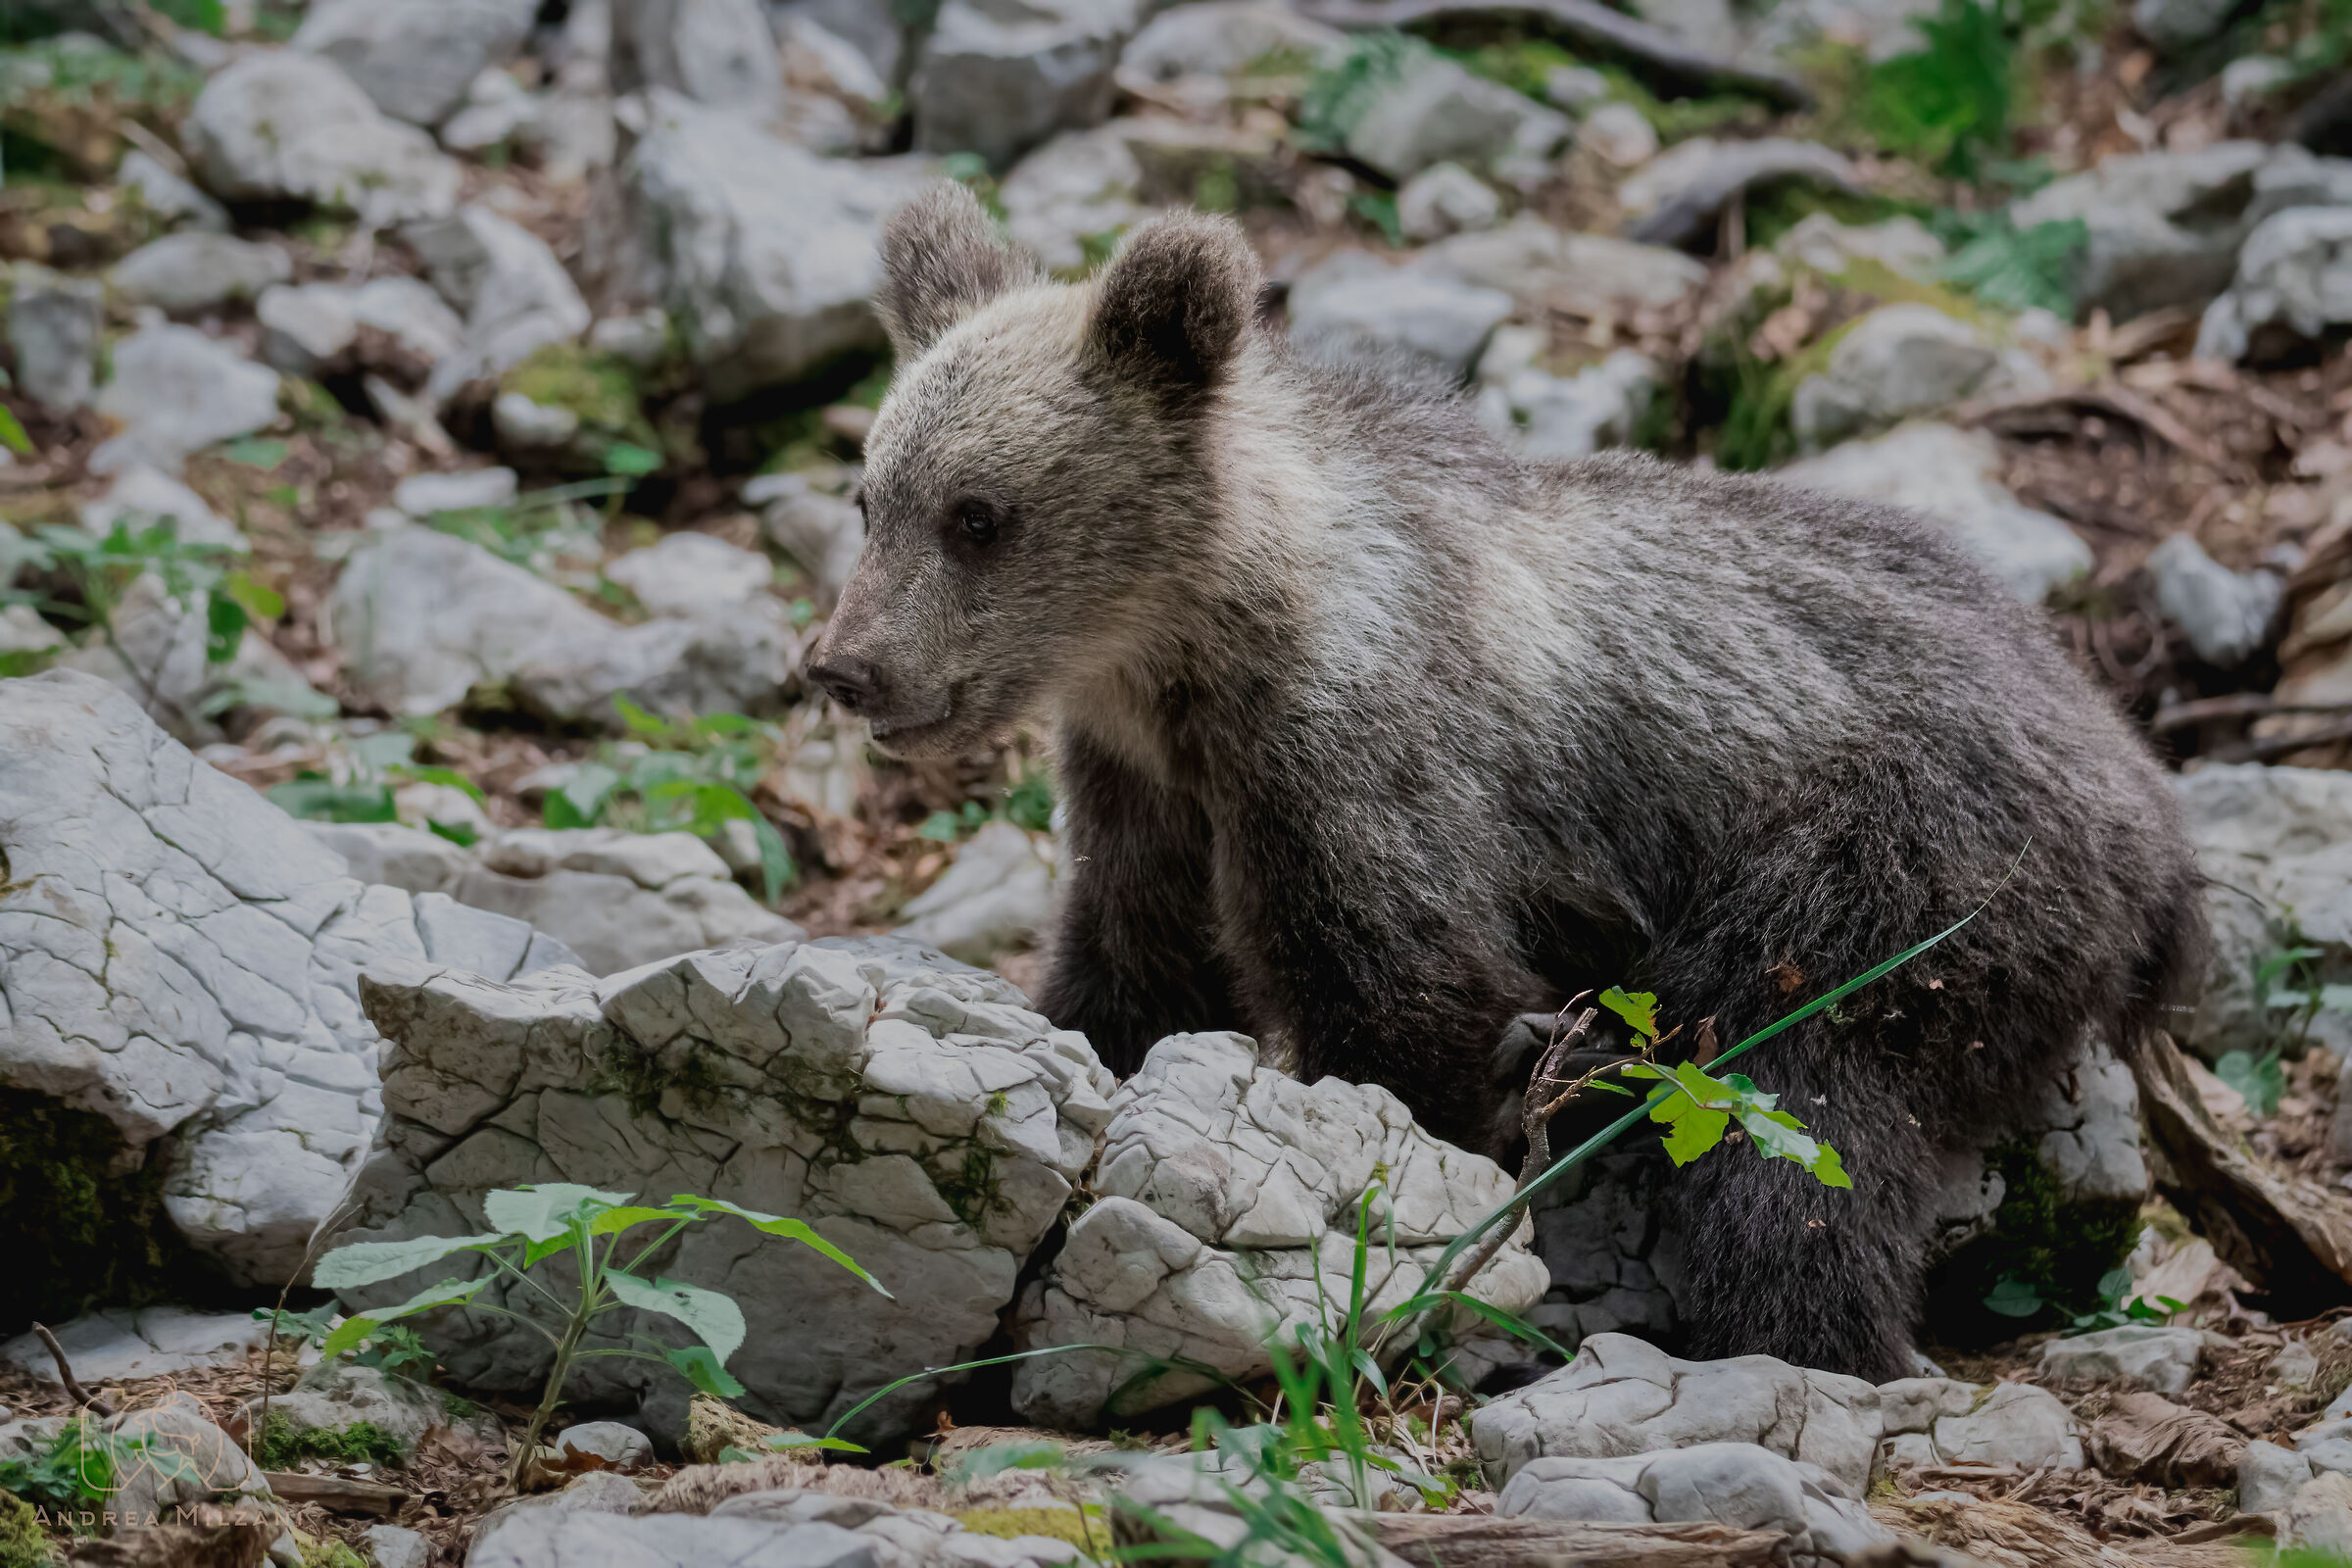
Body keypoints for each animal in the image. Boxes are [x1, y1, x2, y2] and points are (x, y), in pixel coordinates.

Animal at [807, 183, 2205, 1383]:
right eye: (870, 496)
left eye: (979, 513)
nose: (843, 667)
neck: (1192, 650)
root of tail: (2143, 790)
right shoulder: (1148, 789)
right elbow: (1138, 963)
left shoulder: (1358, 761)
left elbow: (1407, 994)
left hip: (1902, 869)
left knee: (1797, 1102)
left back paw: (1800, 1335)